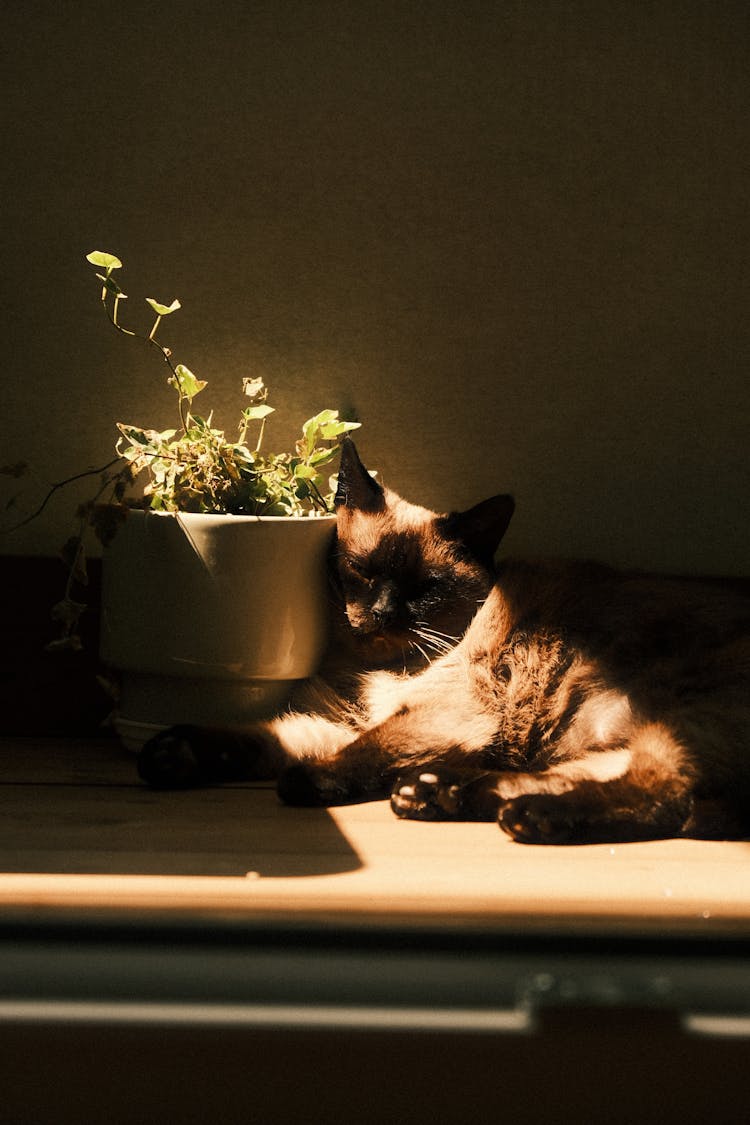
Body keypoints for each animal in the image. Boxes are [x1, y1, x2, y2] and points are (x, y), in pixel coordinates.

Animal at [136, 438, 750, 846]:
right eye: (362, 572)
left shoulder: (436, 716)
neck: (365, 670)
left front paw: (305, 781)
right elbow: (260, 738)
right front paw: (175, 754)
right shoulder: (338, 721)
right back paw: (442, 793)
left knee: (665, 796)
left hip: (679, 716)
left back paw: (521, 816)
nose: (382, 613)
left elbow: (358, 753)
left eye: (424, 589)